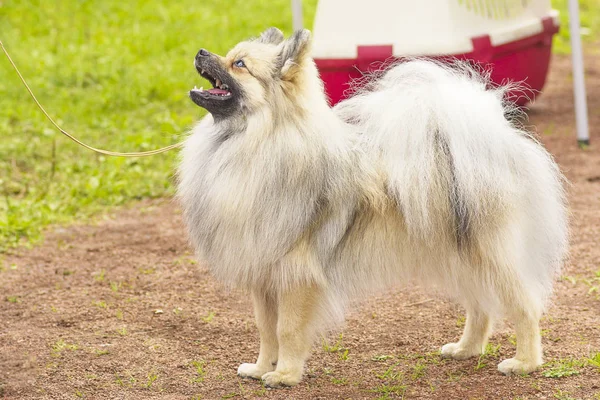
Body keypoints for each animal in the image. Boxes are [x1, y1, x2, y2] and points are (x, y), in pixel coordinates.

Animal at [177, 28, 568, 388]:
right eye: (228, 56)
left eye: (239, 64)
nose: (200, 51)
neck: (249, 140)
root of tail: (494, 140)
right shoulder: (264, 276)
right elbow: (266, 330)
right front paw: (260, 369)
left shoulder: (295, 275)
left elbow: (287, 330)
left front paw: (284, 375)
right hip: (460, 256)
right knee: (480, 306)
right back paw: (466, 348)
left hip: (490, 255)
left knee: (524, 307)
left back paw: (524, 362)